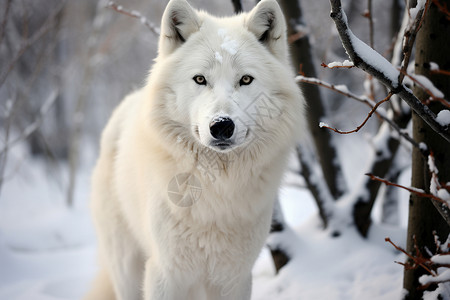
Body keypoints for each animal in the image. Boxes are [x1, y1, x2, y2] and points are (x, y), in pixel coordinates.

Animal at [84, 0, 304, 298]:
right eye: (200, 79)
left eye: (246, 80)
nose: (222, 126)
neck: (216, 189)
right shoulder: (165, 273)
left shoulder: (233, 278)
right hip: (127, 269)